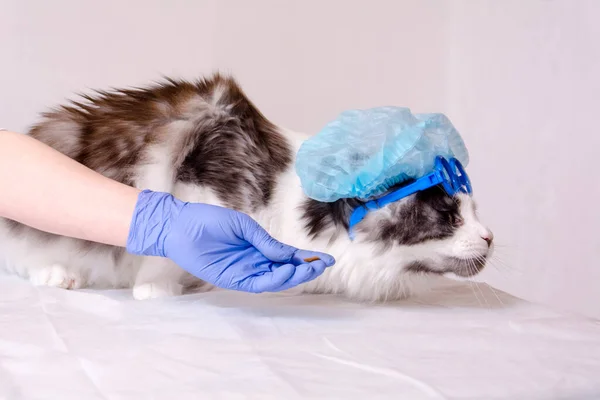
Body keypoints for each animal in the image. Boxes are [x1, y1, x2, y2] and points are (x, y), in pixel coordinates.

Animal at [0, 74, 492, 300]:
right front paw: (158, 288)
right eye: (448, 215)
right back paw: (59, 274)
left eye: (475, 210)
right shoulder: (196, 177)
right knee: (28, 256)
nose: (489, 236)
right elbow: (167, 243)